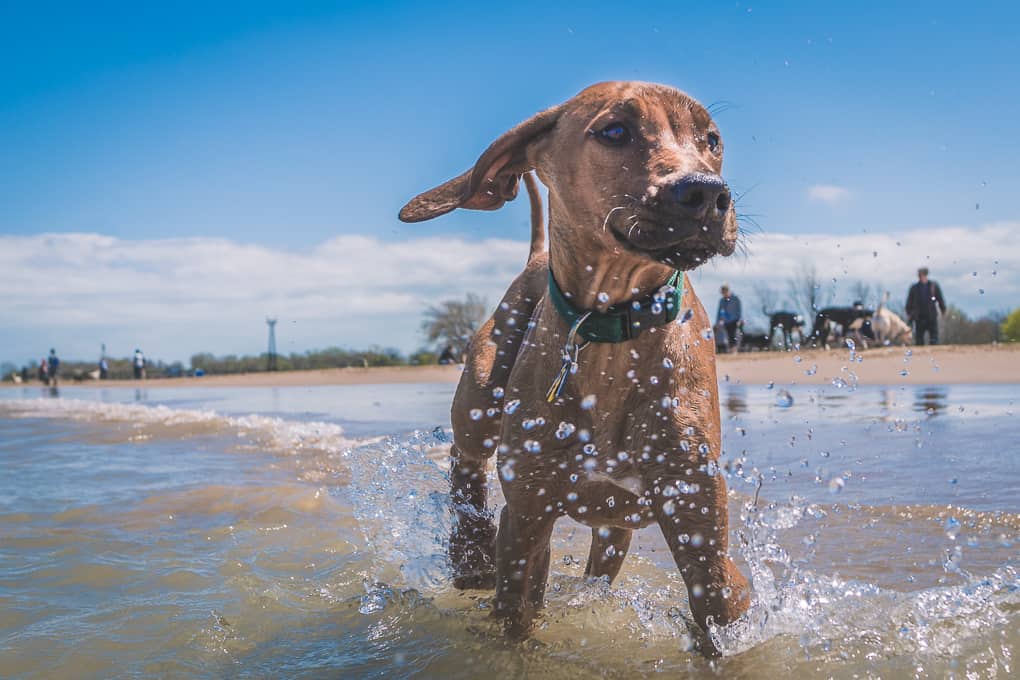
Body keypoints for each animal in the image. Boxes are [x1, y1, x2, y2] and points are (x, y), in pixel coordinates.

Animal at [399, 82, 750, 656]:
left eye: (712, 139)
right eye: (615, 130)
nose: (706, 193)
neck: (612, 327)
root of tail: (534, 259)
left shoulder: (700, 523)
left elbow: (719, 614)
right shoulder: (526, 517)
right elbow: (514, 618)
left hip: (612, 528)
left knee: (601, 560)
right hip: (480, 398)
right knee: (465, 461)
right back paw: (469, 552)